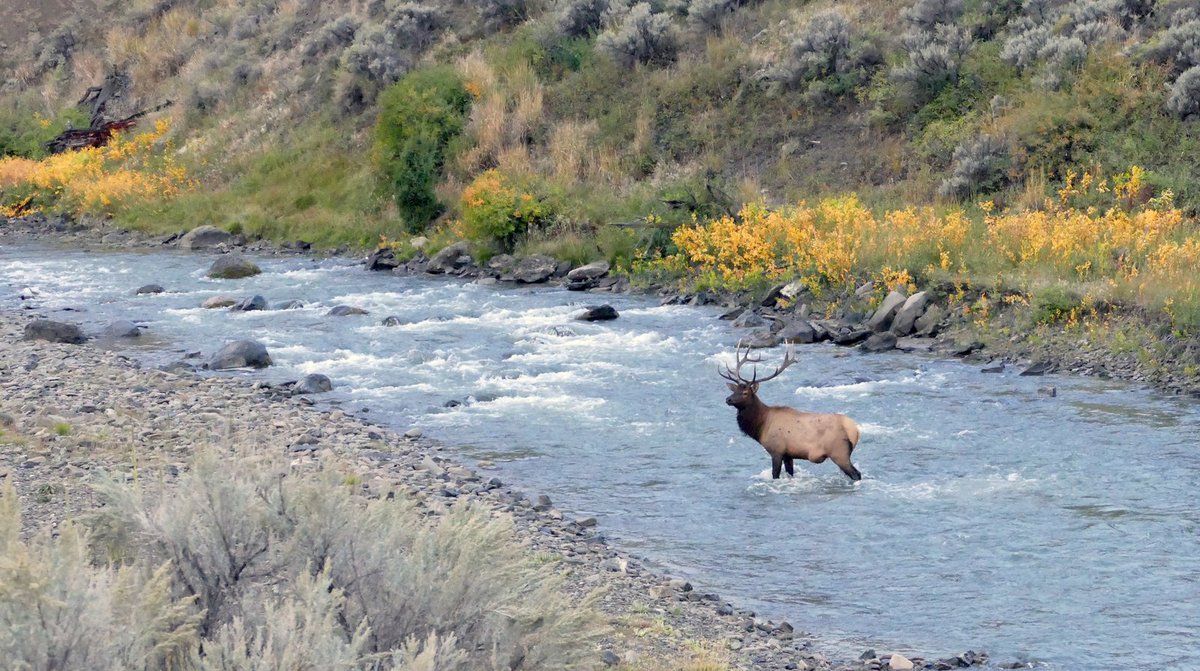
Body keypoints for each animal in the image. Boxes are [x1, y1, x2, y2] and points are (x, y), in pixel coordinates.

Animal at [720, 343, 862, 481]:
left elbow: (775, 474)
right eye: (734, 390)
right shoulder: (789, 454)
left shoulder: (776, 450)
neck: (761, 426)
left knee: (856, 474)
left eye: (745, 393)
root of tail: (854, 431)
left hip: (839, 452)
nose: (728, 399)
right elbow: (790, 473)